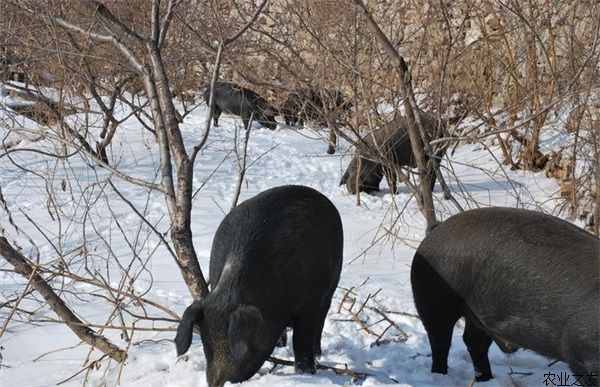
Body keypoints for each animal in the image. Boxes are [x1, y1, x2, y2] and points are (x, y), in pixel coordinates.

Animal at [173, 185, 342, 387]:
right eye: (207, 344)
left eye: (236, 347)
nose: (216, 382)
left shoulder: (310, 304)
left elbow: (302, 342)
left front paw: (306, 373)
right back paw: (281, 344)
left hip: (333, 281)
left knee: (322, 318)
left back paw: (318, 353)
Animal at [410, 208, 600, 384]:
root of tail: (436, 229)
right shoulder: (581, 354)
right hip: (433, 302)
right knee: (440, 343)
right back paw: (440, 376)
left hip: (477, 315)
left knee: (473, 341)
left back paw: (486, 380)